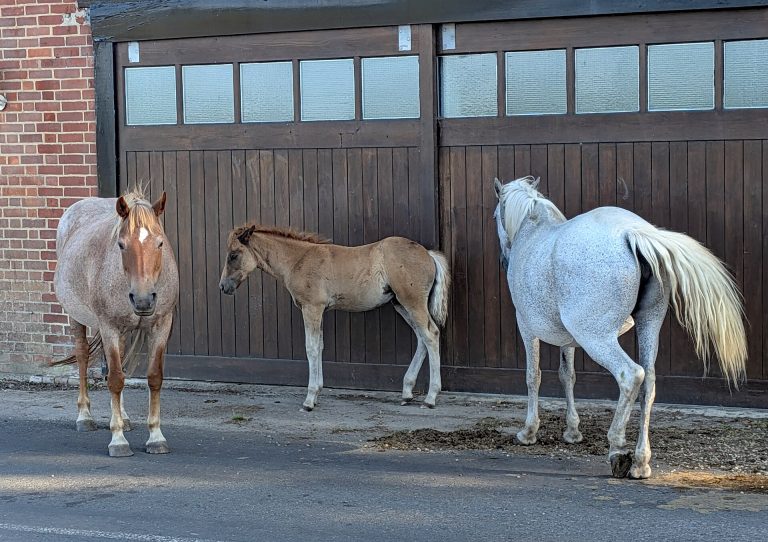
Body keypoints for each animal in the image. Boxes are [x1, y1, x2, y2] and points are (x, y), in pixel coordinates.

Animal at [51, 189, 179, 457]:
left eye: (160, 243)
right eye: (121, 244)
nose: (143, 299)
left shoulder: (161, 326)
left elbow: (154, 377)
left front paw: (156, 437)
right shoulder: (108, 326)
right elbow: (116, 380)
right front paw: (118, 440)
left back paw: (124, 416)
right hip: (77, 318)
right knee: (83, 356)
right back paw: (85, 416)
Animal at [219, 224, 450, 411]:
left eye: (233, 255)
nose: (223, 287)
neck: (298, 260)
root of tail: (429, 254)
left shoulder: (311, 308)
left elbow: (311, 348)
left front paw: (309, 400)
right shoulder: (319, 310)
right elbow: (320, 346)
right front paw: (318, 392)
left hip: (411, 301)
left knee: (431, 334)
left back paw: (430, 398)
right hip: (400, 304)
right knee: (421, 337)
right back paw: (407, 393)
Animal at [493, 176, 747, 479]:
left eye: (495, 216)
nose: (503, 259)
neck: (534, 229)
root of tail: (631, 232)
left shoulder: (527, 326)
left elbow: (534, 376)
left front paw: (528, 432)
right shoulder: (569, 338)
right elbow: (568, 376)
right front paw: (572, 431)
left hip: (597, 339)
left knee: (631, 375)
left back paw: (617, 447)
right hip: (647, 327)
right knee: (648, 383)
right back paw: (640, 462)